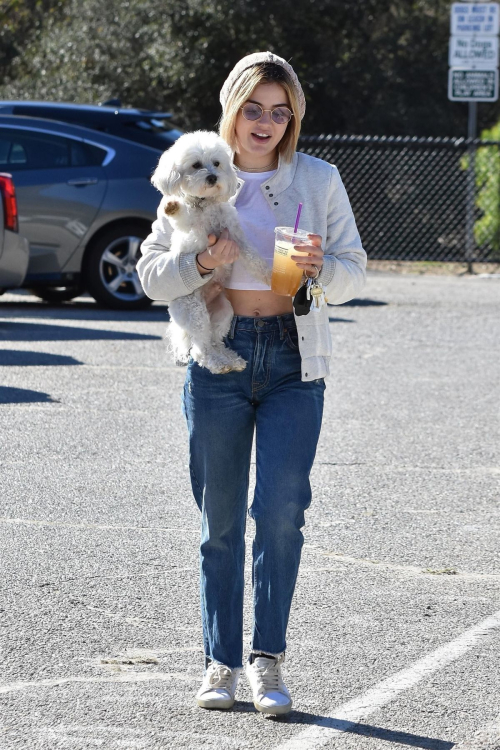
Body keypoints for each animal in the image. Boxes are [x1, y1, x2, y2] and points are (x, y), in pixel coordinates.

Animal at [150, 132, 272, 376]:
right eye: (196, 165)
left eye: (216, 163)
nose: (213, 177)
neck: (205, 205)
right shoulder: (189, 226)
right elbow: (183, 215)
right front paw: (172, 206)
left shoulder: (236, 237)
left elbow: (254, 258)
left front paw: (269, 275)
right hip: (194, 311)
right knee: (200, 349)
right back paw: (218, 364)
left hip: (224, 313)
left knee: (214, 341)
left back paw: (231, 359)